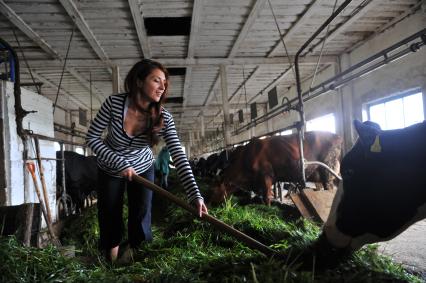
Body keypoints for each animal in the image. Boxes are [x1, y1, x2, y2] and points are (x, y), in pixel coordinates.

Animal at [210, 132, 342, 207]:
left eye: (214, 190)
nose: (211, 203)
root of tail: (336, 136)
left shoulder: (266, 176)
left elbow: (267, 196)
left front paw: (267, 209)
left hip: (328, 170)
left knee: (329, 188)